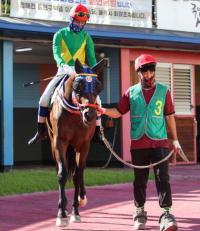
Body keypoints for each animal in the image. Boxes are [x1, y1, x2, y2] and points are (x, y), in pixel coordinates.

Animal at [47, 58, 106, 226]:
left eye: (98, 87)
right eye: (78, 86)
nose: (90, 115)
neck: (75, 114)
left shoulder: (83, 144)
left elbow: (78, 175)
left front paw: (75, 210)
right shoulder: (59, 142)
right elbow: (62, 174)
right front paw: (62, 213)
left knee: (78, 172)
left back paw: (81, 197)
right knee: (61, 169)